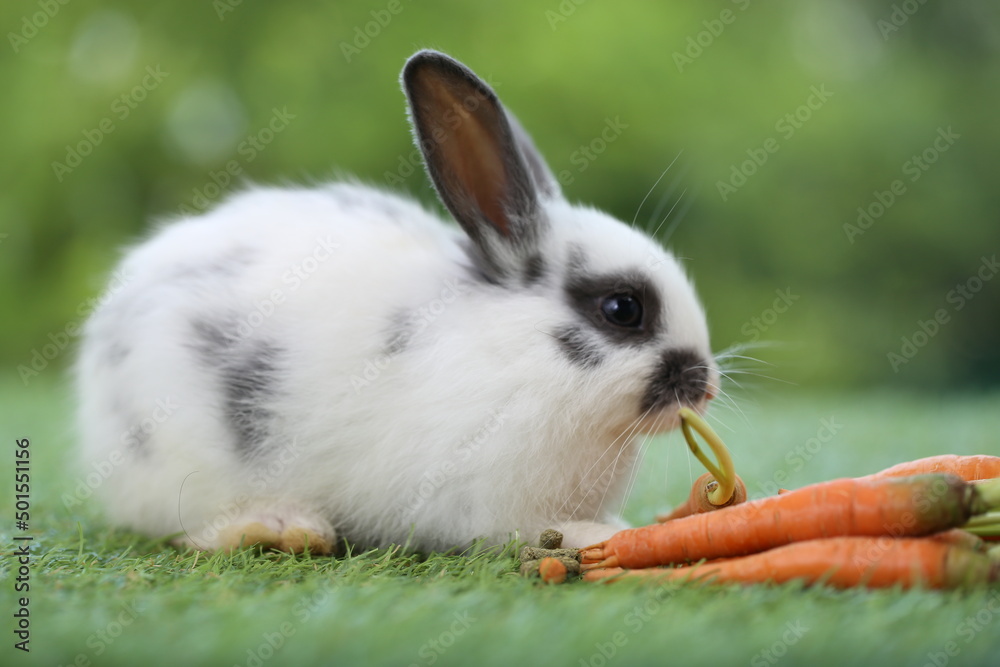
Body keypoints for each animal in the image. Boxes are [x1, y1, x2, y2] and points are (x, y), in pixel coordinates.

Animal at [74, 50, 717, 554]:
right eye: (622, 309)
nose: (704, 384)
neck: (520, 353)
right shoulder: (480, 499)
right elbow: (531, 530)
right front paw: (603, 535)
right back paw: (282, 527)